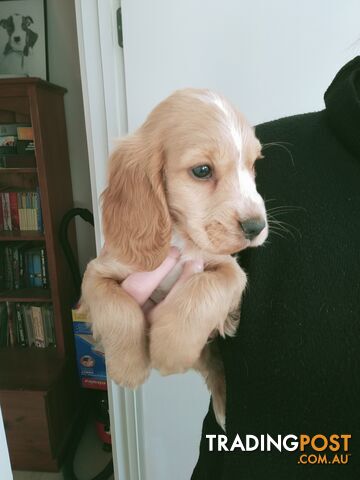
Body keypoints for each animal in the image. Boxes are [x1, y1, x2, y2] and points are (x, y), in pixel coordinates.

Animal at [81, 89, 268, 428]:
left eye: (252, 166)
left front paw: (170, 351)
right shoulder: (95, 274)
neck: (180, 237)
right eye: (202, 170)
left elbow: (204, 289)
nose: (256, 227)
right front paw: (128, 367)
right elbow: (119, 308)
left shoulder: (230, 269)